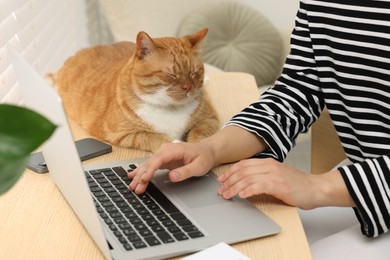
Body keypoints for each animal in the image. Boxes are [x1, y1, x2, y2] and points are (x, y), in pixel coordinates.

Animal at [55, 28, 219, 151]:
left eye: (194, 73)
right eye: (171, 75)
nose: (188, 88)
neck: (170, 108)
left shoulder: (209, 119)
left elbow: (198, 134)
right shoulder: (123, 134)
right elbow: (153, 137)